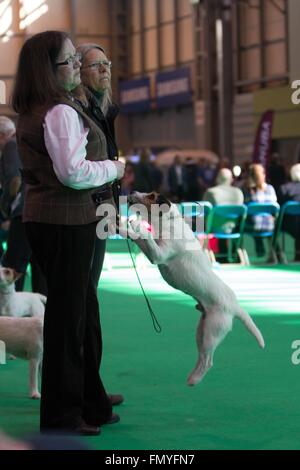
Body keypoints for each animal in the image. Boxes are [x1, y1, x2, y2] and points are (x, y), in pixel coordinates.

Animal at [117, 191, 264, 386]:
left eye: (152, 196)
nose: (132, 192)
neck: (169, 222)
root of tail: (235, 306)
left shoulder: (158, 254)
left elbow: (145, 239)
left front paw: (133, 226)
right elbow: (137, 237)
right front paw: (129, 224)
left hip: (212, 332)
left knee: (208, 360)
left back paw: (195, 379)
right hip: (201, 330)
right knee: (202, 357)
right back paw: (192, 376)